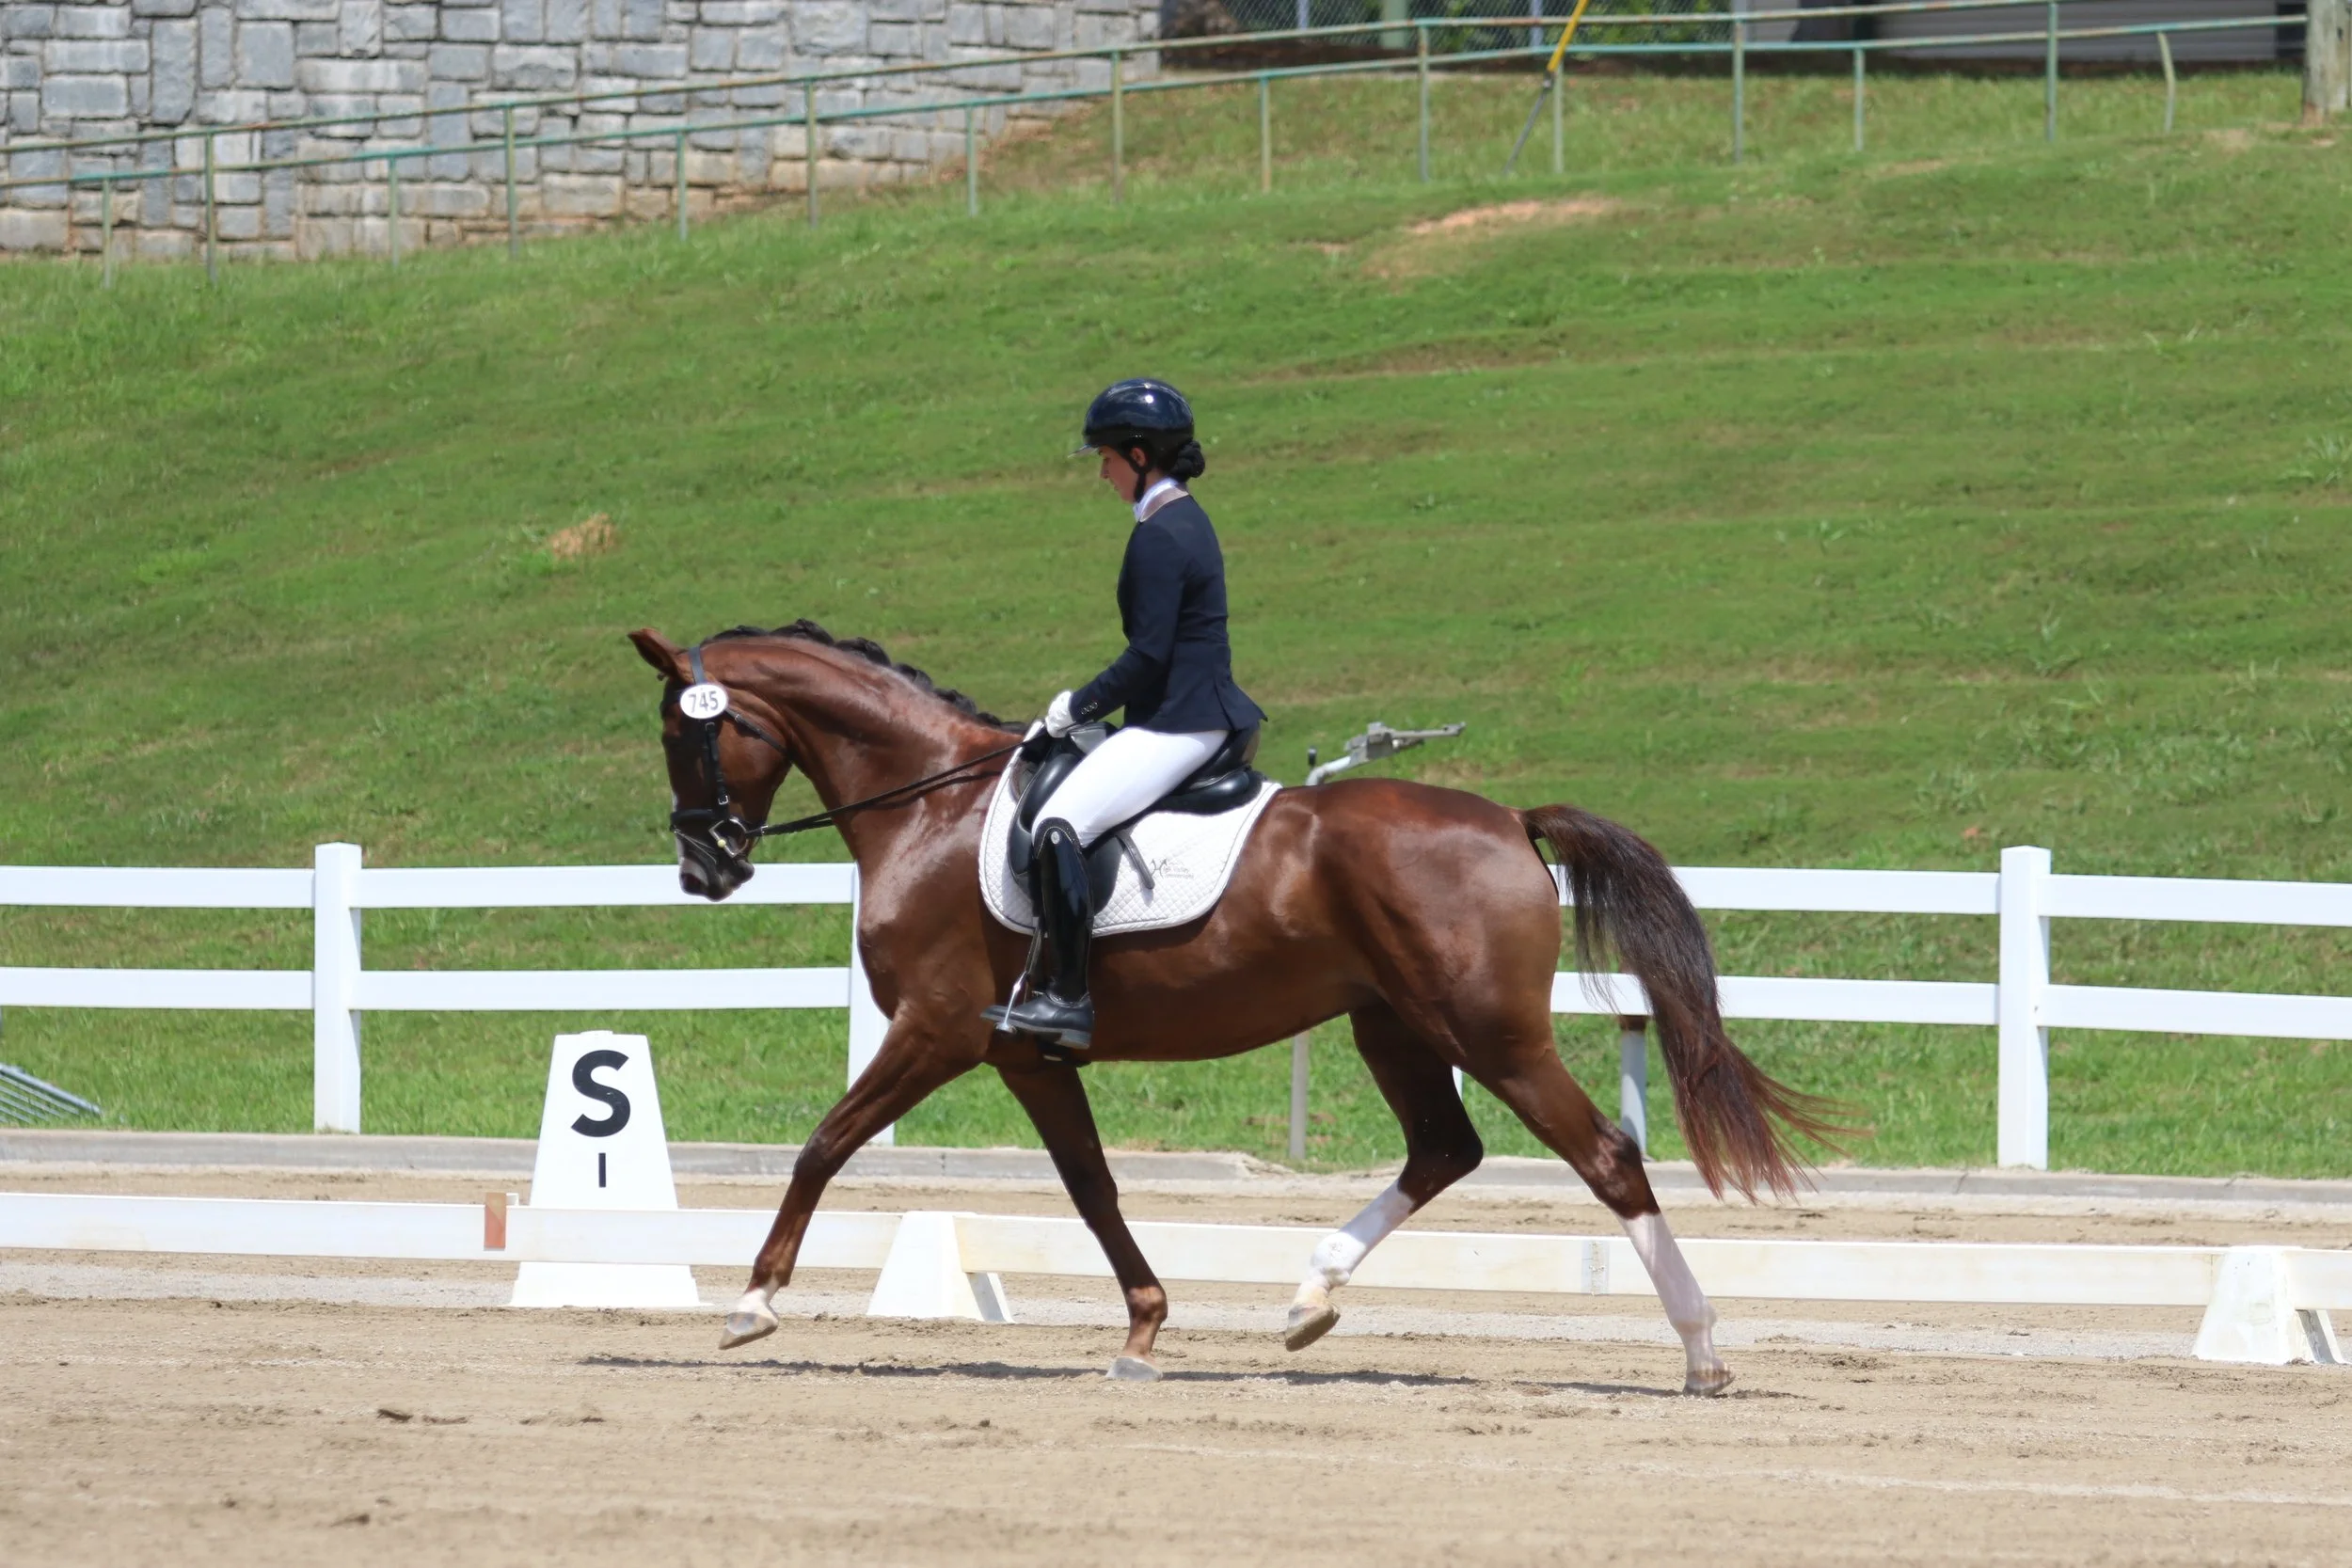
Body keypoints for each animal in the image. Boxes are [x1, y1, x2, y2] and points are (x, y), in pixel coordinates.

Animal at [628, 620, 1842, 1395]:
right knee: (1444, 1149)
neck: (929, 803)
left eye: (685, 731)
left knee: (1605, 1157)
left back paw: (1700, 1351)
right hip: (1392, 1024)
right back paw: (1308, 1299)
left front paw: (753, 1301)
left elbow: (824, 1143)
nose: (703, 866)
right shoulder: (1026, 1055)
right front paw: (1143, 1326)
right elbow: (1092, 1187)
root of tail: (1506, 818)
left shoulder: (936, 1028)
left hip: (1487, 1030)